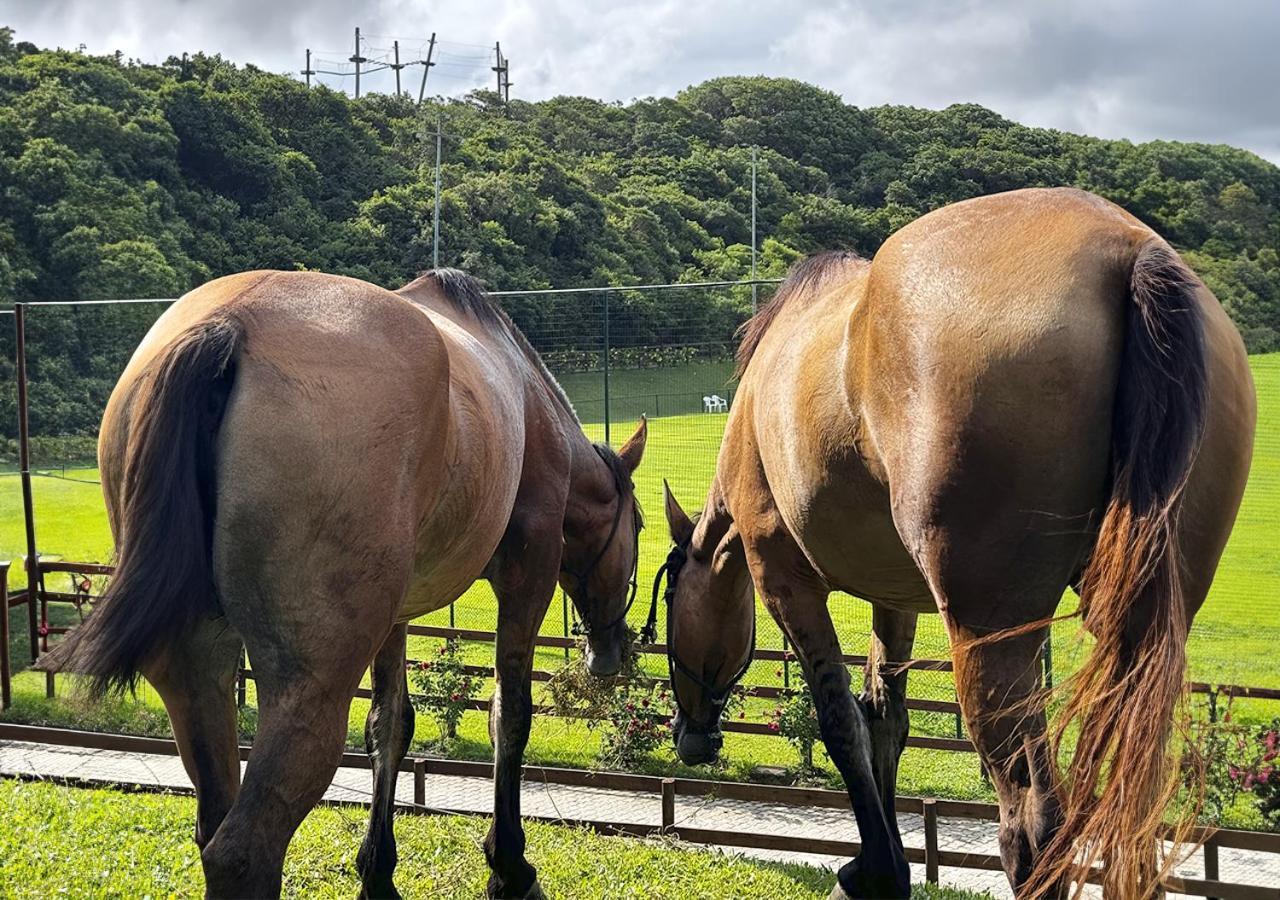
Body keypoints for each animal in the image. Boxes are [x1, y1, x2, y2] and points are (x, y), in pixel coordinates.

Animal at [43, 268, 645, 900]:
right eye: (639, 526)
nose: (611, 652)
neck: (528, 402)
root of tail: (228, 325)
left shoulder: (395, 616)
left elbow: (390, 725)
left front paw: (377, 873)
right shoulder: (527, 573)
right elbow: (510, 714)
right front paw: (509, 868)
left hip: (199, 672)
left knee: (213, 822)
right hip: (311, 690)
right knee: (240, 851)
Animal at [655, 186, 1254, 896]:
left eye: (669, 607)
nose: (690, 737)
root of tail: (1129, 248)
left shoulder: (784, 582)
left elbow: (842, 722)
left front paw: (875, 868)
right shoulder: (895, 599)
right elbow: (884, 717)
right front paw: (883, 863)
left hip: (989, 632)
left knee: (1031, 821)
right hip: (1150, 622)